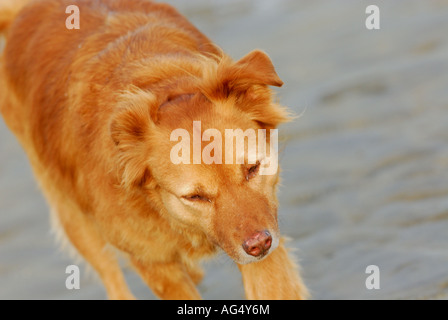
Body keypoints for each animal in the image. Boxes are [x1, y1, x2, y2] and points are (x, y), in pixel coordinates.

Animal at [0, 0, 308, 300]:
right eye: (195, 197)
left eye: (253, 168)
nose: (260, 244)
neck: (162, 87)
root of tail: (26, 9)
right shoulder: (154, 262)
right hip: (74, 219)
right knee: (113, 281)